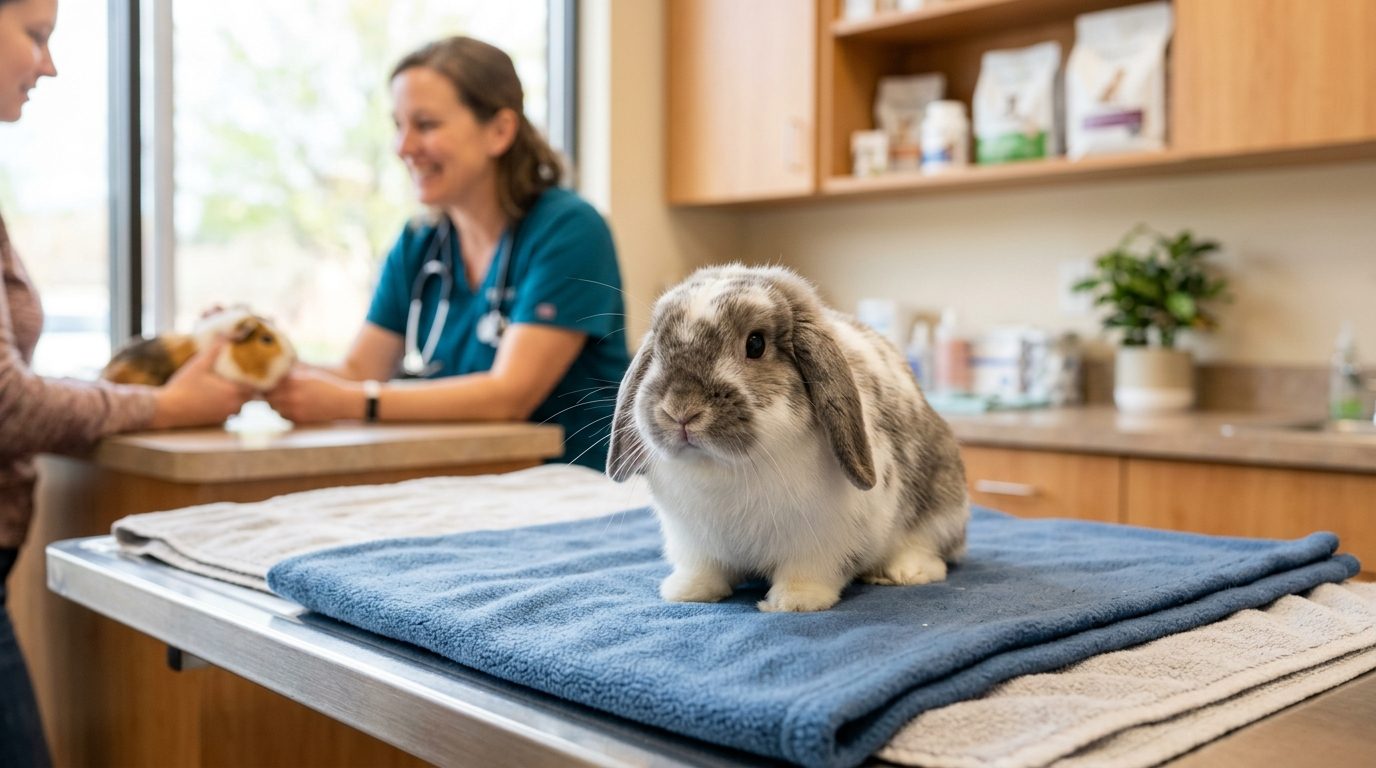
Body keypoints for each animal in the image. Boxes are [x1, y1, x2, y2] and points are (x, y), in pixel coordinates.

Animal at [607, 264, 969, 612]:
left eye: (755, 344)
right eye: (658, 347)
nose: (680, 411)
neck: (725, 467)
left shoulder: (819, 542)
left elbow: (807, 573)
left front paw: (793, 602)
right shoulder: (694, 543)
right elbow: (703, 570)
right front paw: (687, 592)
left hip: (940, 502)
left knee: (931, 548)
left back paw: (904, 571)